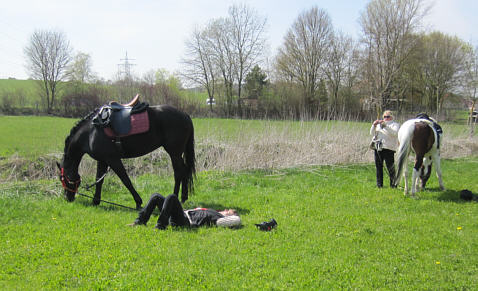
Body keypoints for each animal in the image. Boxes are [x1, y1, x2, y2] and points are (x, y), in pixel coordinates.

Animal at [57, 104, 195, 209]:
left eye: (62, 178)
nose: (68, 198)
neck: (91, 132)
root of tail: (185, 115)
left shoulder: (113, 159)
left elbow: (125, 180)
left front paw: (138, 201)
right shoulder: (102, 160)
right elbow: (99, 180)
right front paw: (96, 201)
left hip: (174, 152)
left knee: (179, 173)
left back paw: (175, 196)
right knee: (185, 171)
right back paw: (183, 197)